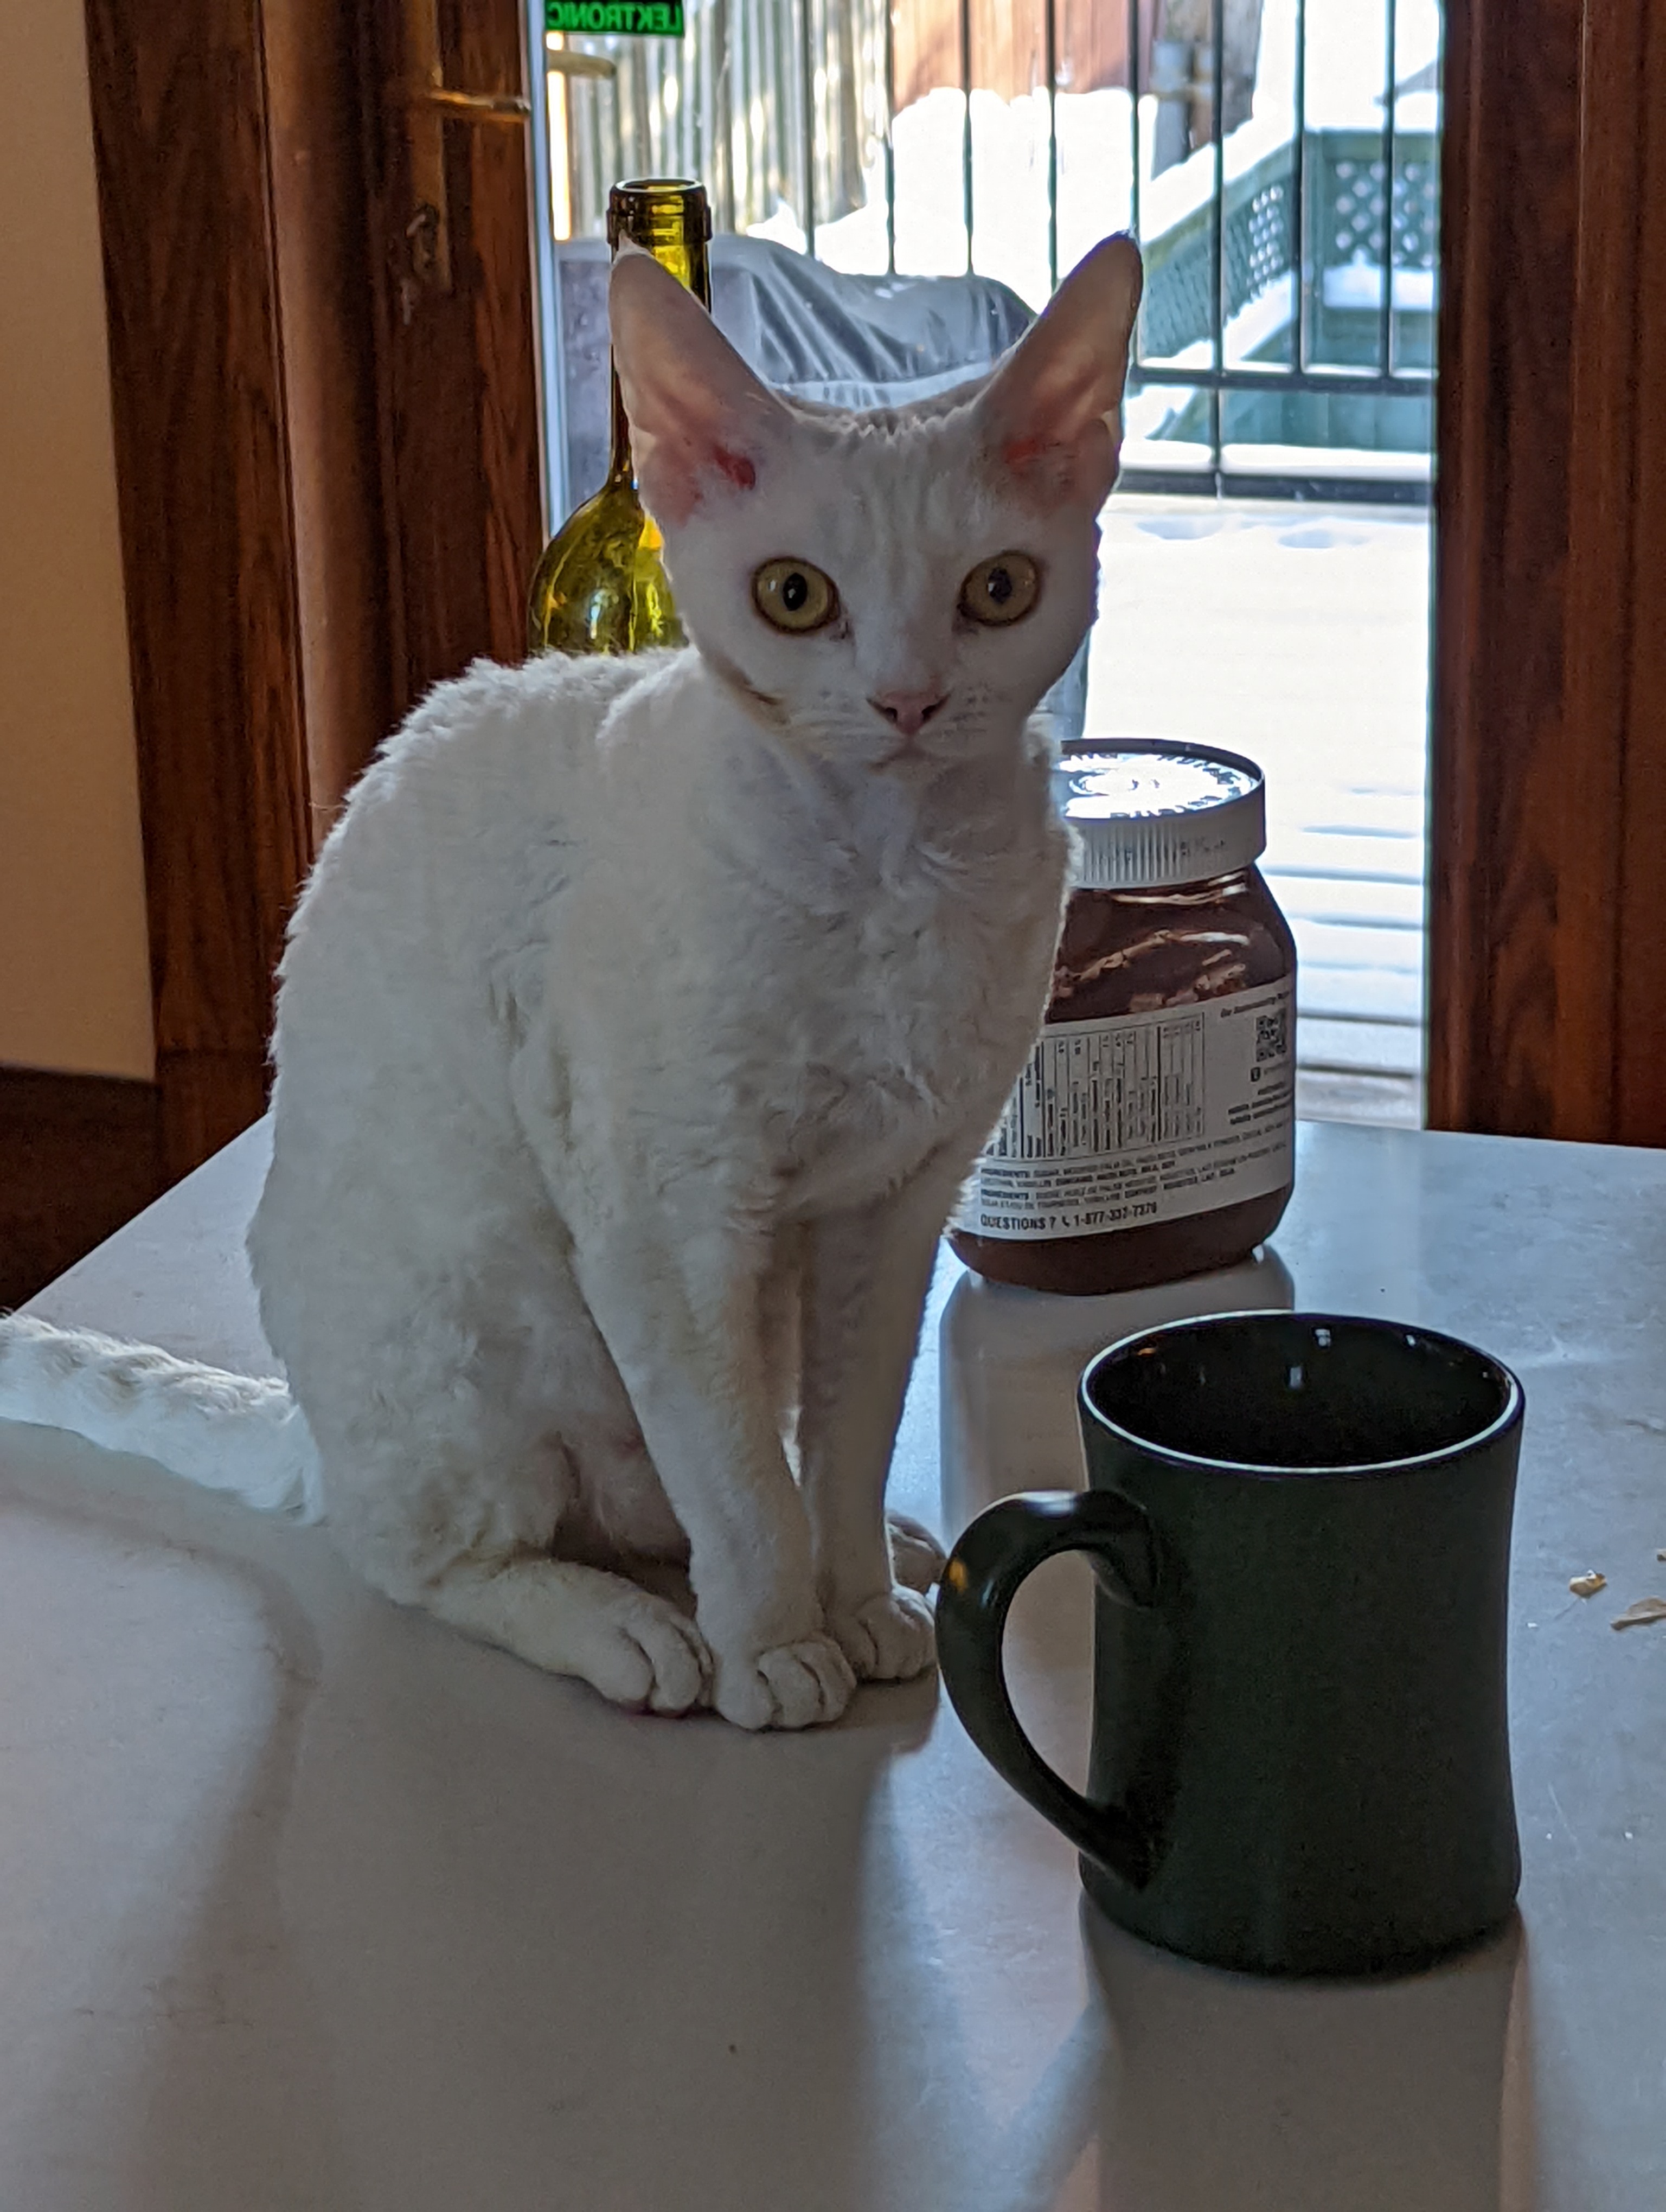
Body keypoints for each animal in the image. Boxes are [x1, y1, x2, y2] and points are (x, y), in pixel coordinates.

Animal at [0, 237, 1142, 1725]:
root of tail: (313, 1429)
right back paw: (631, 1628)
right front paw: (778, 1647)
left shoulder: (892, 1206)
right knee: (432, 1551)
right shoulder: (665, 1208)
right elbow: (736, 1477)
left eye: (996, 589)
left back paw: (871, 1559)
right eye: (794, 595)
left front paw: (851, 1601)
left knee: (670, 1494)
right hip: (486, 1312)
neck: (893, 875)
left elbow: (841, 1441)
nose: (905, 700)